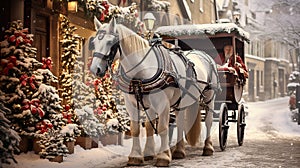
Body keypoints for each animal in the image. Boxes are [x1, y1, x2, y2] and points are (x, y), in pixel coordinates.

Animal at [88, 16, 218, 166]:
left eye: (110, 42)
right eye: (94, 42)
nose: (95, 69)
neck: (142, 72)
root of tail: (203, 54)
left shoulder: (162, 104)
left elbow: (162, 128)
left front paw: (163, 157)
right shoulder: (134, 104)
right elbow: (139, 128)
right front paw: (139, 155)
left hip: (209, 96)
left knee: (208, 121)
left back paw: (208, 148)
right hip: (182, 101)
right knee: (180, 123)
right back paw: (179, 151)